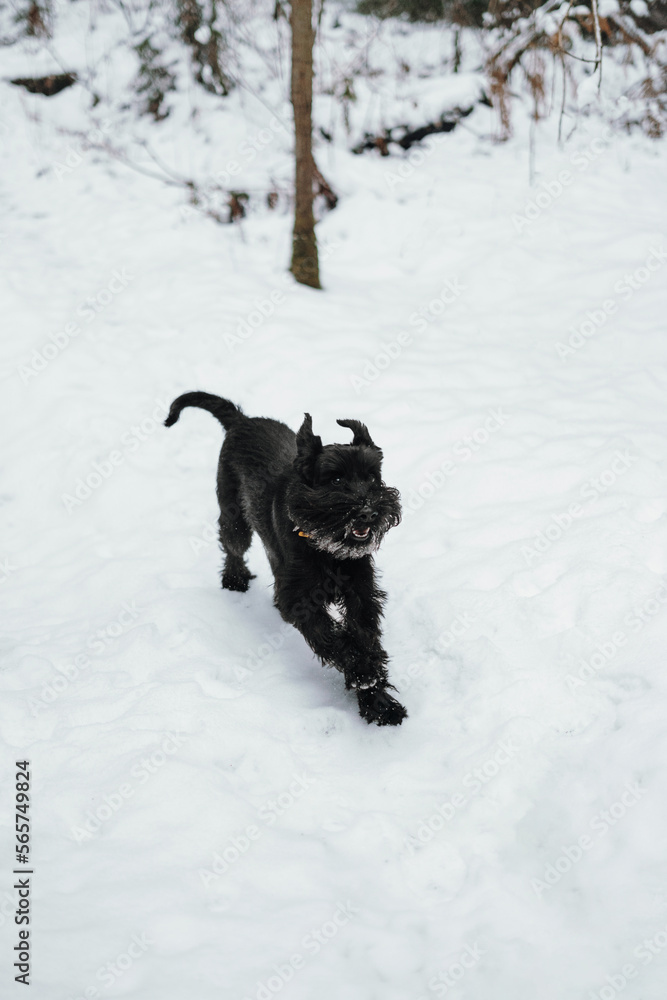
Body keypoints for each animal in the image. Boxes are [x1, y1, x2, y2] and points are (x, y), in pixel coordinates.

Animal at [166, 390, 408, 728]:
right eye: (335, 480)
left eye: (372, 477)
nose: (369, 512)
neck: (324, 545)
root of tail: (241, 420)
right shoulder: (299, 599)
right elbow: (331, 638)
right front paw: (362, 674)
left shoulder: (361, 591)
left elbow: (365, 634)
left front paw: (379, 701)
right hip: (234, 518)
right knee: (233, 548)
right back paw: (235, 580)